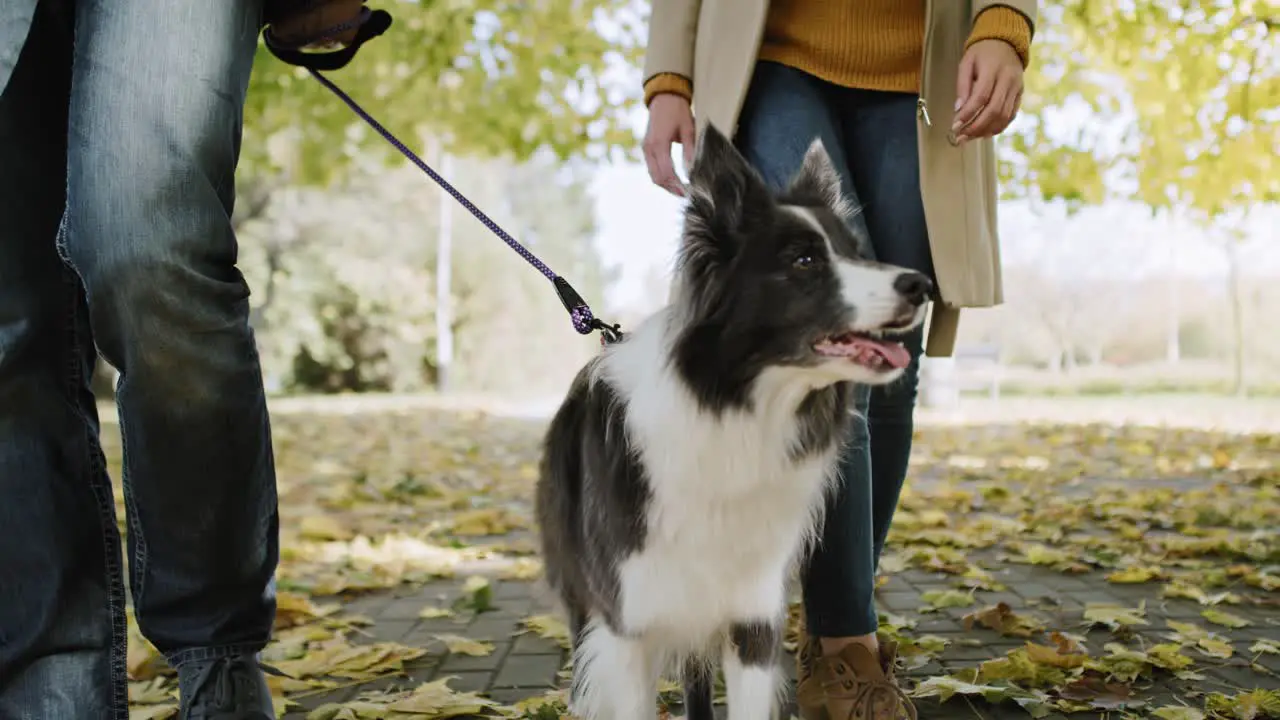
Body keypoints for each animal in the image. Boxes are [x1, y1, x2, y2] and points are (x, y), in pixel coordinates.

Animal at [535, 126, 936, 717]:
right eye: (804, 260)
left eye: (857, 255)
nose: (921, 285)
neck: (731, 408)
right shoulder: (627, 627)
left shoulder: (753, 620)